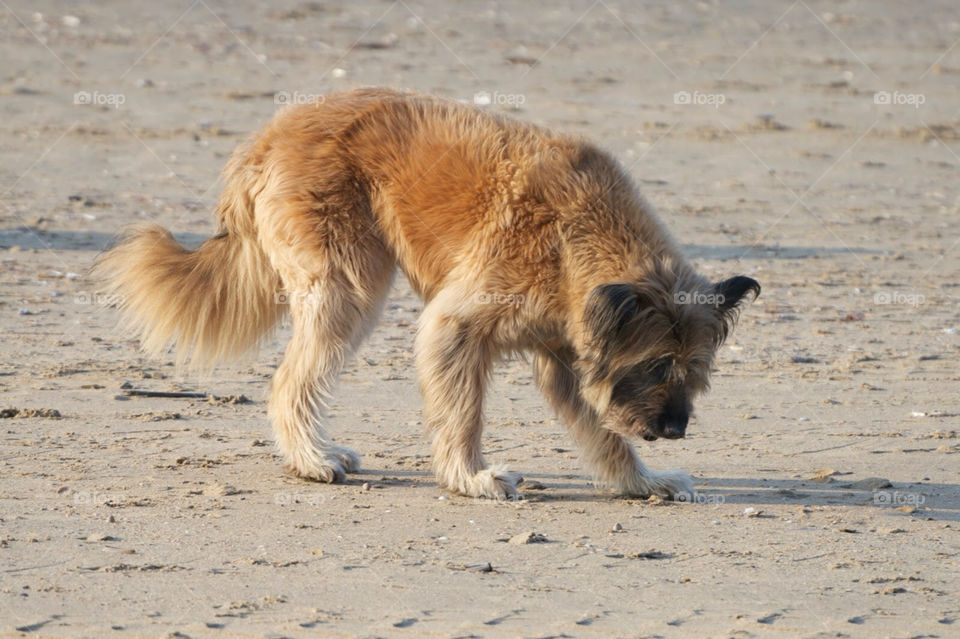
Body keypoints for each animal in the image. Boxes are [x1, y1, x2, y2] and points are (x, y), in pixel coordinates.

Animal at [97, 87, 756, 502]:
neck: (577, 236)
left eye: (696, 372)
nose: (675, 429)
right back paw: (311, 459)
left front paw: (641, 483)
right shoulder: (456, 328)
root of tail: (267, 136)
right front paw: (471, 479)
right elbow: (462, 415)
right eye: (656, 365)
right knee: (290, 382)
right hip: (349, 290)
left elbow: (602, 434)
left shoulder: (566, 358)